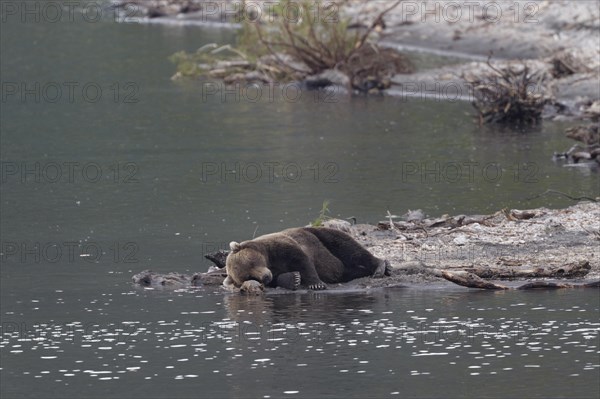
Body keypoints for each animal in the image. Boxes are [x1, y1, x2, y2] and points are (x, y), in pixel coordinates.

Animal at [223, 228, 392, 290]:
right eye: (249, 276)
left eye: (252, 262)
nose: (265, 277)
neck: (269, 259)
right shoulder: (275, 269)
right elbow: (281, 277)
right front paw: (294, 279)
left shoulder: (281, 246)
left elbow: (301, 260)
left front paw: (316, 284)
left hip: (319, 236)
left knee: (348, 247)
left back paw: (382, 266)